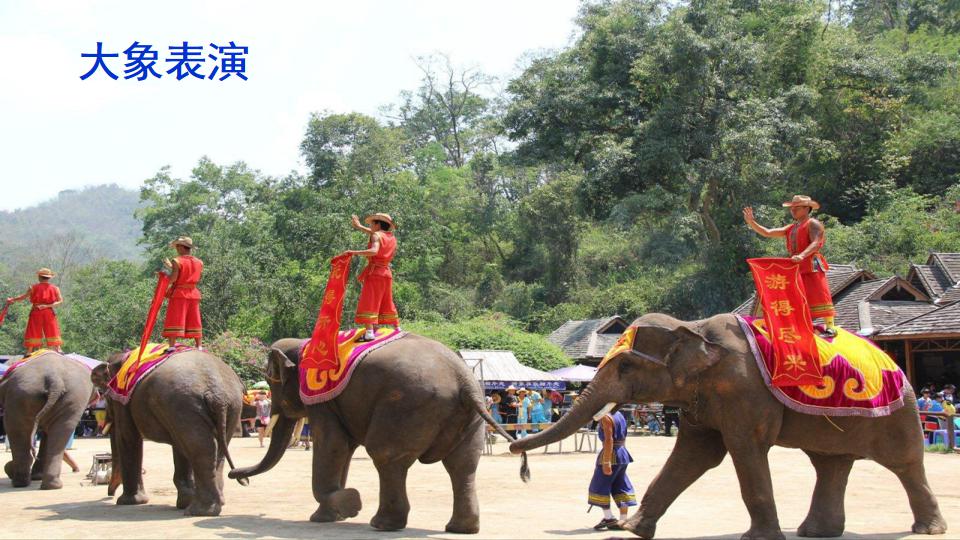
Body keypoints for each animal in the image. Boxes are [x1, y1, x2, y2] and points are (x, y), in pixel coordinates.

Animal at [0, 351, 97, 489]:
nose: (76, 469)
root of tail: (54, 379)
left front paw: (35, 476)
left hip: (22, 395)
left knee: (17, 430)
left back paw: (22, 481)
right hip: (70, 396)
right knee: (61, 431)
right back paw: (46, 484)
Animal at [90, 348, 247, 516]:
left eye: (105, 397)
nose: (109, 494)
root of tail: (217, 392)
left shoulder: (124, 400)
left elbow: (128, 437)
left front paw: (128, 502)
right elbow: (179, 446)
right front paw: (184, 500)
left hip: (184, 402)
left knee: (201, 449)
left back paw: (198, 511)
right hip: (228, 405)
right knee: (214, 448)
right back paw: (215, 503)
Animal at [228, 335, 526, 534]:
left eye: (271, 380)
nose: (237, 477)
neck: (304, 343)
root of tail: (464, 380)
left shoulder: (321, 400)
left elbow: (332, 444)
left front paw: (347, 505)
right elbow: (344, 448)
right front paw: (332, 514)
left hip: (406, 405)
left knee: (386, 456)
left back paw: (382, 524)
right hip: (467, 418)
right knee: (462, 465)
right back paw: (459, 529)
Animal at [510, 313, 947, 540]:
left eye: (627, 366)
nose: (516, 451)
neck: (693, 325)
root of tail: (895, 364)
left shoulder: (744, 392)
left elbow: (743, 450)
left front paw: (758, 539)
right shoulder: (702, 398)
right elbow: (693, 455)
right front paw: (634, 529)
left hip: (898, 412)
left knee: (904, 461)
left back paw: (928, 529)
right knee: (830, 464)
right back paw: (815, 532)